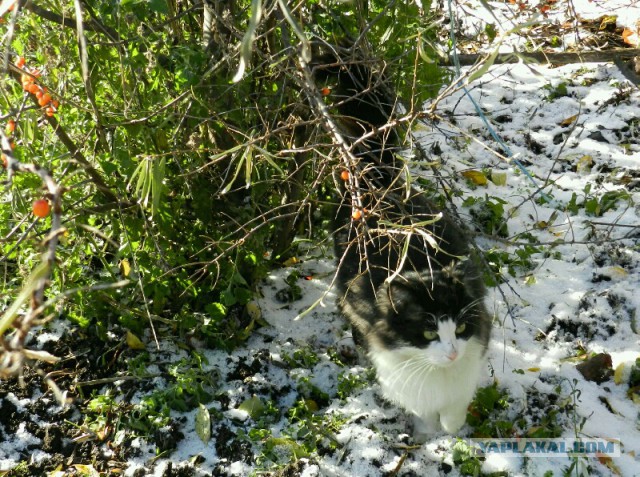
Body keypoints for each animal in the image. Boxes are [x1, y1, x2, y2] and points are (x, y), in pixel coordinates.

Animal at [312, 50, 492, 436]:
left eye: (461, 329)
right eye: (428, 331)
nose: (452, 353)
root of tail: (376, 176)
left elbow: (454, 413)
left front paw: (450, 432)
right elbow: (425, 412)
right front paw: (430, 436)